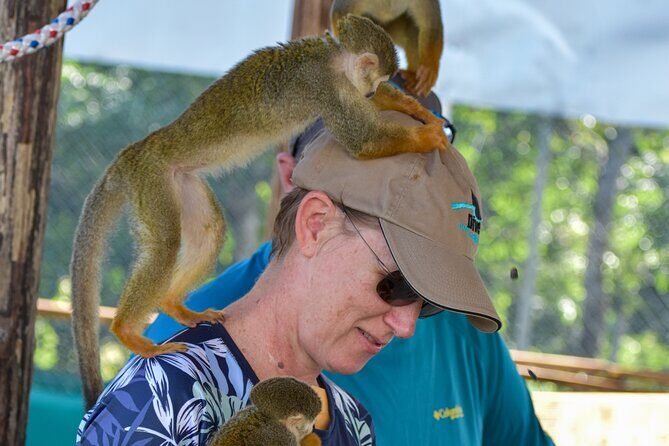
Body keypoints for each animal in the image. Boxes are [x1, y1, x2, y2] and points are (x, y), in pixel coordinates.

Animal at [71, 13, 449, 408]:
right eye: (373, 81)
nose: (372, 93)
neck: (333, 59)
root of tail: (135, 151)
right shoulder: (324, 85)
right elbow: (363, 142)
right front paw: (426, 138)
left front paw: (417, 110)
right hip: (153, 179)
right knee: (164, 247)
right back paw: (126, 331)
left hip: (180, 181)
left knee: (209, 230)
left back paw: (175, 305)